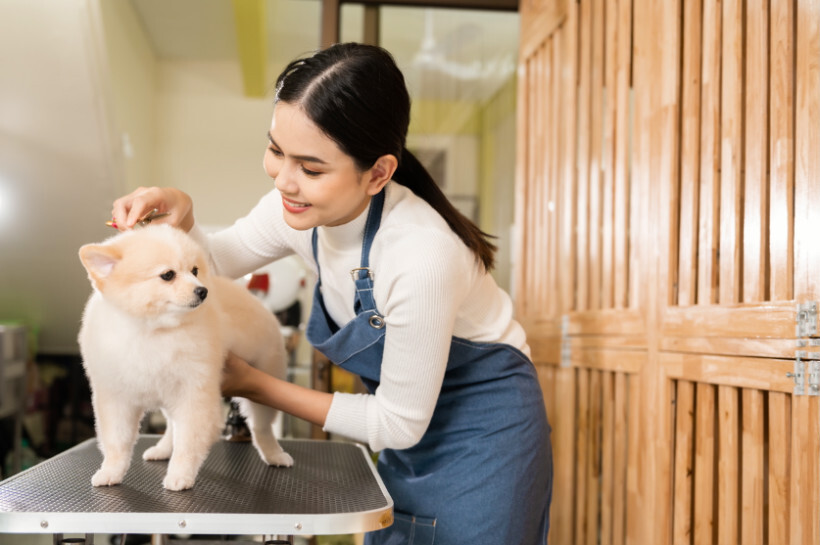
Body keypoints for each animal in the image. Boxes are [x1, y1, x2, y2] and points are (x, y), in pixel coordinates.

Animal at [77, 221, 294, 488]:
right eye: (168, 275)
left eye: (195, 271)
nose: (203, 291)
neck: (152, 332)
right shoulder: (117, 397)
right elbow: (117, 442)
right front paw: (111, 471)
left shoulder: (194, 393)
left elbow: (188, 442)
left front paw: (180, 475)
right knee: (172, 427)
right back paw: (162, 449)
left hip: (264, 383)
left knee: (262, 428)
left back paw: (274, 455)